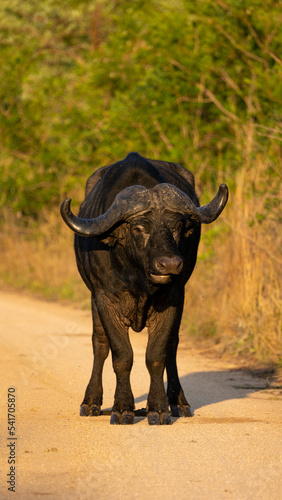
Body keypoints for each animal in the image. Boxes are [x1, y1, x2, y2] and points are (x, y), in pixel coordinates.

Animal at [60, 150, 228, 424]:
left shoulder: (173, 298)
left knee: (172, 347)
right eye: (139, 228)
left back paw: (179, 403)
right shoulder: (105, 299)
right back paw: (91, 402)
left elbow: (157, 354)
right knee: (100, 344)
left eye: (177, 227)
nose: (170, 264)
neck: (138, 279)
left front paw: (158, 408)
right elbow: (121, 355)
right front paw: (122, 408)